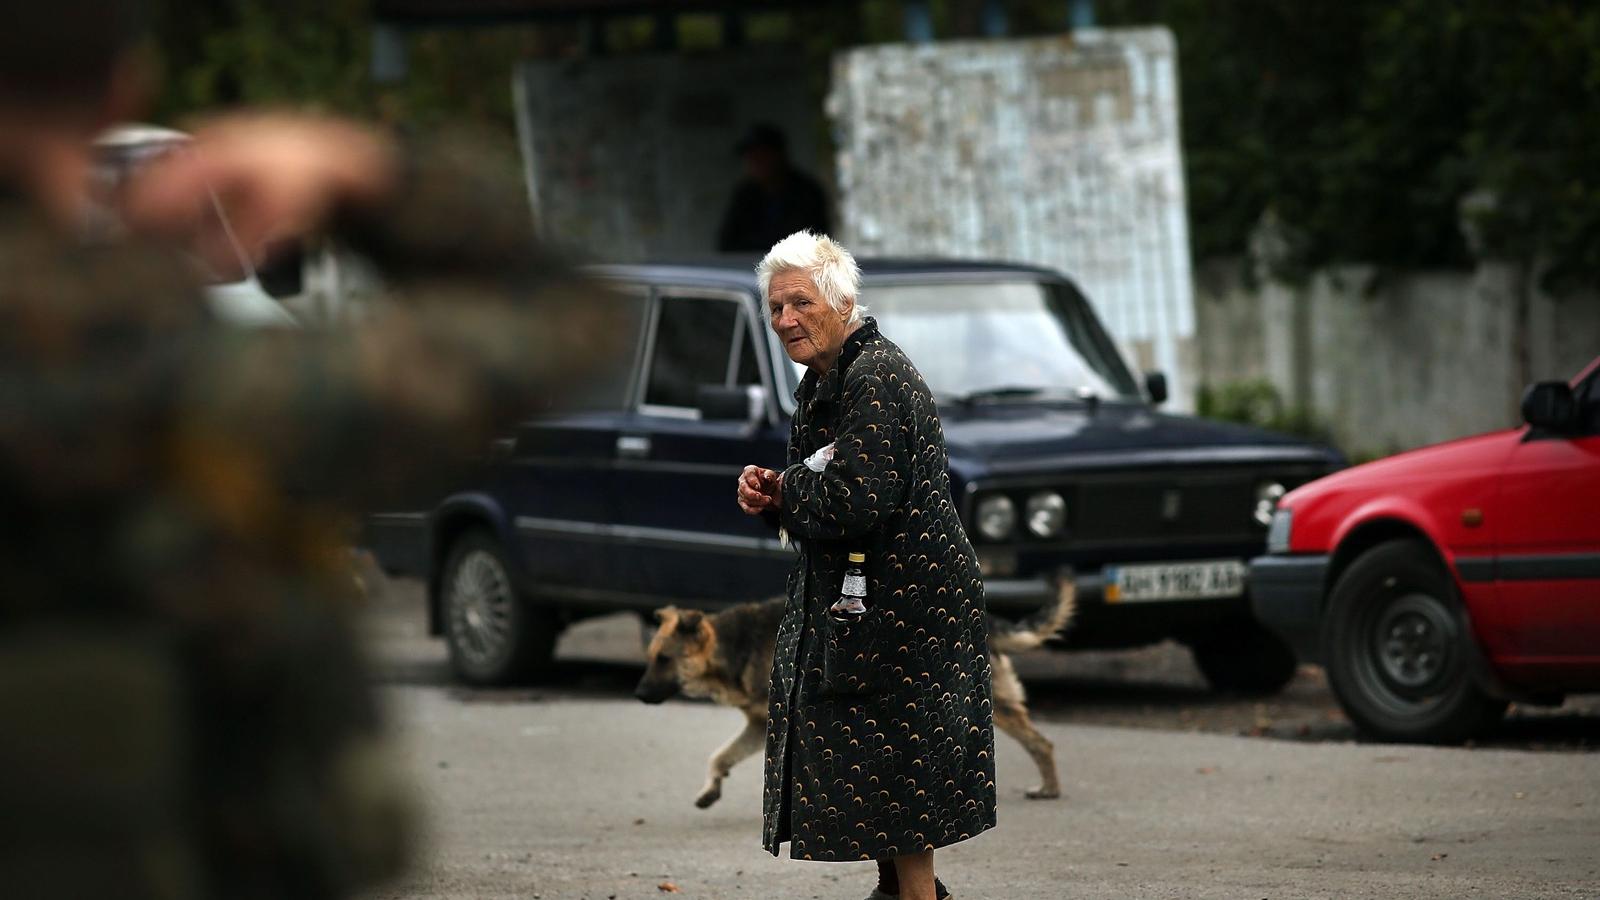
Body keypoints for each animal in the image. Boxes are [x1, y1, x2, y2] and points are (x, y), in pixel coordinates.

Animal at [630, 582, 1068, 807]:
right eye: (651, 658)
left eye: (665, 659)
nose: (637, 694)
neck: (734, 646)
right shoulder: (757, 725)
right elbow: (720, 756)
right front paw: (711, 789)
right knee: (1038, 742)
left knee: (1040, 743)